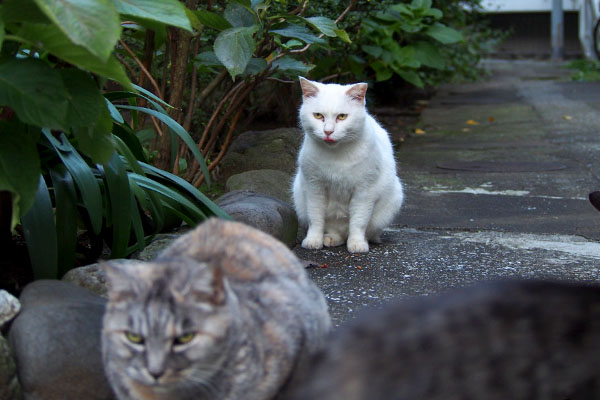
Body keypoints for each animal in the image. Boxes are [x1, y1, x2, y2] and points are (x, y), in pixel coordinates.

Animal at [292, 77, 406, 253]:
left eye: (342, 117)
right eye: (318, 116)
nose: (328, 131)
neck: (336, 156)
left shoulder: (364, 191)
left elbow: (359, 221)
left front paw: (357, 244)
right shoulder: (314, 188)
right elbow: (315, 218)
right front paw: (313, 240)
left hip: (392, 200)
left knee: (361, 231)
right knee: (335, 231)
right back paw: (331, 238)